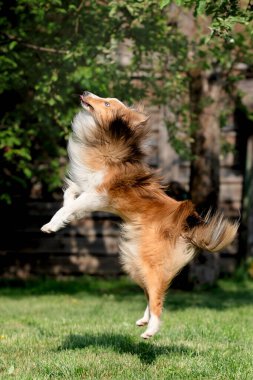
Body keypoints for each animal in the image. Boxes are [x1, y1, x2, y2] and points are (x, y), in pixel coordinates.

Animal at [40, 91, 238, 338]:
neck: (109, 139)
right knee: (151, 292)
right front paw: (59, 221)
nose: (85, 93)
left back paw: (151, 330)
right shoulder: (86, 187)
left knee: (158, 297)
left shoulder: (97, 194)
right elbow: (69, 197)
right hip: (134, 258)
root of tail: (182, 220)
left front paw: (51, 225)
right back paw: (145, 320)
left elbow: (70, 206)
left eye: (107, 103)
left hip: (148, 259)